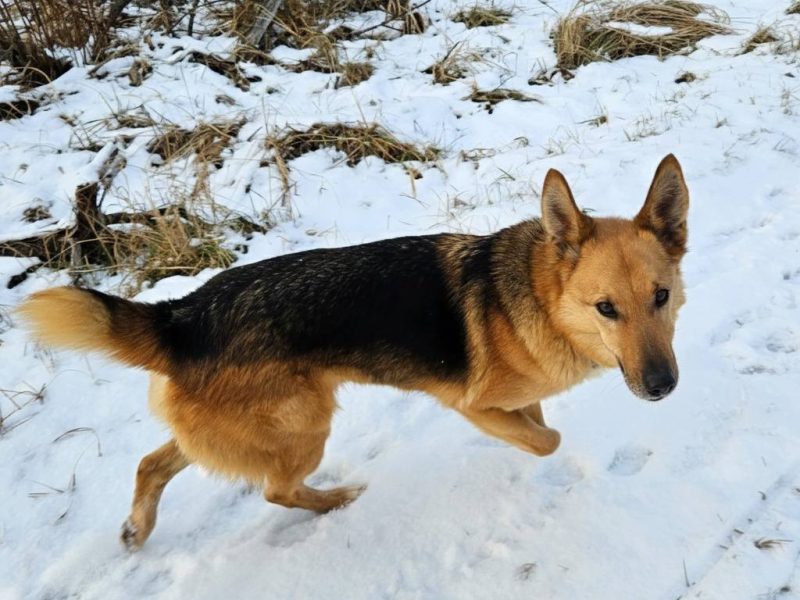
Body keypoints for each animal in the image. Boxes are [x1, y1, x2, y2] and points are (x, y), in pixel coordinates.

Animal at [17, 154, 689, 549]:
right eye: (606, 309)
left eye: (660, 297)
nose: (662, 387)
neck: (542, 298)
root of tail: (182, 316)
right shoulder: (475, 406)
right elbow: (545, 438)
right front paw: (536, 449)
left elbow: (539, 423)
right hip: (303, 429)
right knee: (274, 489)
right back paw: (334, 501)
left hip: (228, 428)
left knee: (152, 463)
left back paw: (139, 527)